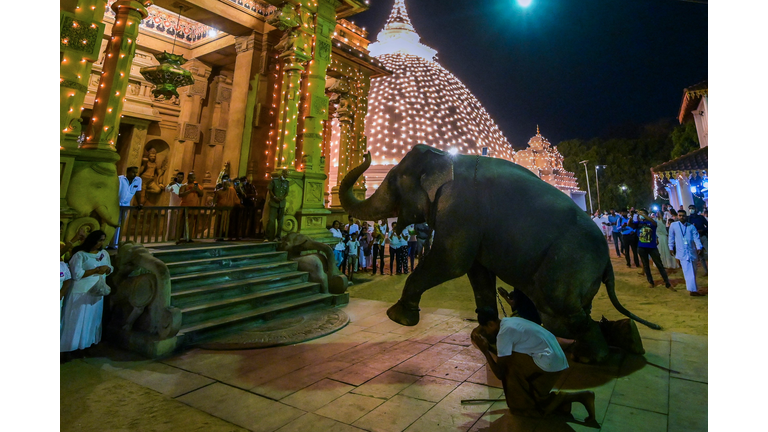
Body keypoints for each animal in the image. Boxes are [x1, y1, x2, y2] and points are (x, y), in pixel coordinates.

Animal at [342, 146, 660, 364]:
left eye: (394, 182)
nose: (367, 153)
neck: (447, 157)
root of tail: (608, 264)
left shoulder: (461, 208)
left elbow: (451, 261)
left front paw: (398, 317)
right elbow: (477, 271)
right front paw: (487, 336)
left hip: (569, 263)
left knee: (560, 312)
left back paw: (589, 357)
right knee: (575, 312)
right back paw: (625, 340)